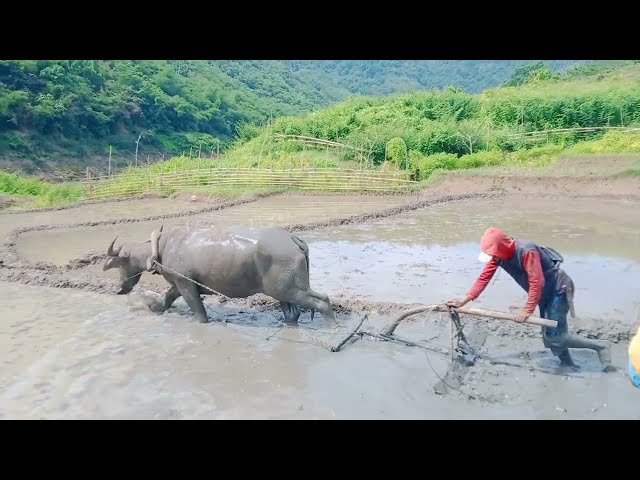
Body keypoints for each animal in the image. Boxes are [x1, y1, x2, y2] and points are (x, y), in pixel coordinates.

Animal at [101, 223, 336, 324]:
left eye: (121, 264)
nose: (120, 289)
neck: (161, 248)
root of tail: (293, 239)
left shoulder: (186, 285)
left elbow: (199, 313)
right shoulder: (179, 283)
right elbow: (167, 298)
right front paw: (153, 306)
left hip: (288, 289)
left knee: (322, 302)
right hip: (282, 290)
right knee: (295, 312)